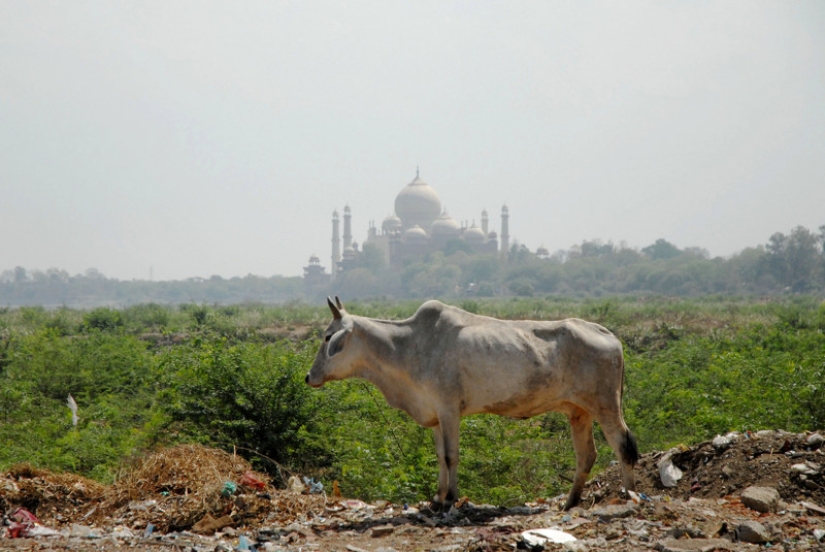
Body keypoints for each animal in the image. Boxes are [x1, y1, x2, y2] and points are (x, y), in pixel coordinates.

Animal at [308, 298, 636, 508]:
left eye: (327, 337)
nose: (309, 376)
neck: (406, 346)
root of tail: (608, 333)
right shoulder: (435, 415)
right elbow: (440, 456)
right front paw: (437, 498)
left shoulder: (449, 409)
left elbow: (451, 455)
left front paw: (450, 499)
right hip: (579, 411)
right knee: (586, 455)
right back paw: (569, 502)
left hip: (606, 406)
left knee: (623, 446)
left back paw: (630, 496)